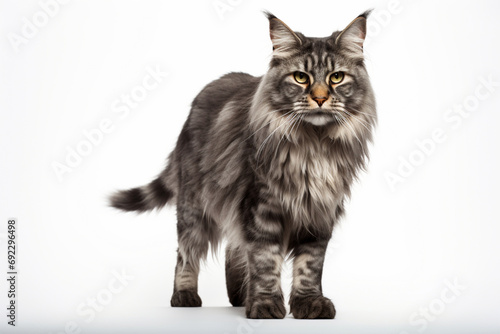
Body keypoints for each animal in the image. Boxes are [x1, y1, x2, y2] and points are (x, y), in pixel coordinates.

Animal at [109, 9, 376, 318]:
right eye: (300, 77)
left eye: (336, 77)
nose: (320, 98)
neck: (314, 146)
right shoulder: (261, 206)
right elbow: (265, 260)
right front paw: (265, 304)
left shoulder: (319, 213)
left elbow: (309, 265)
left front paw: (308, 303)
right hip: (193, 206)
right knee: (186, 252)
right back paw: (185, 295)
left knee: (233, 249)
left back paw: (238, 296)